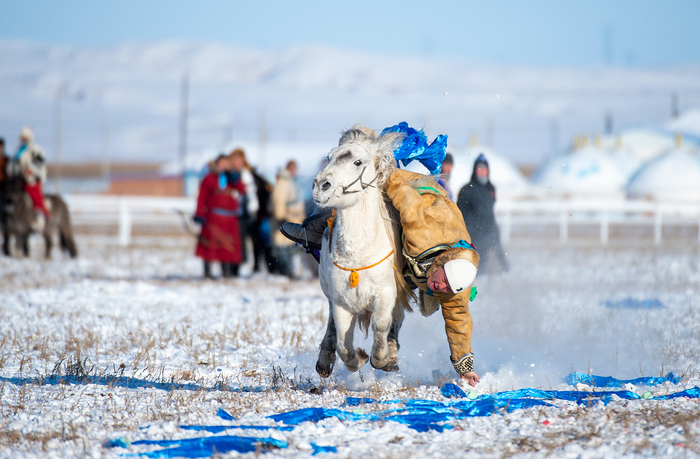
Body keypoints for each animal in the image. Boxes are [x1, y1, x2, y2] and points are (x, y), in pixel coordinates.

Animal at [312, 126, 414, 377]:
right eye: (329, 157)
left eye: (357, 162)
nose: (321, 185)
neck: (358, 255)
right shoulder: (341, 301)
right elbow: (343, 344)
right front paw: (359, 357)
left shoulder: (386, 293)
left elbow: (381, 325)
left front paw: (383, 358)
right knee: (331, 328)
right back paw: (324, 361)